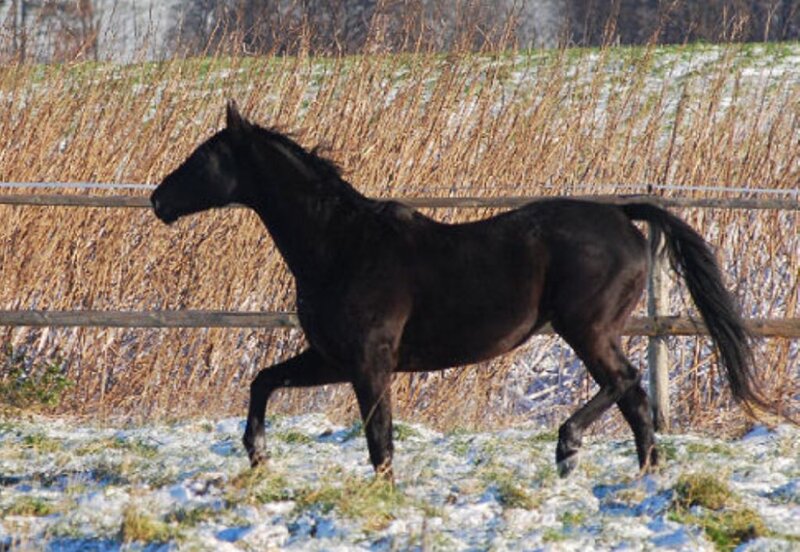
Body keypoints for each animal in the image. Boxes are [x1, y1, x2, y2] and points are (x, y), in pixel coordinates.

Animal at [151, 101, 772, 480]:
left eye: (203, 157)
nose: (158, 200)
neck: (340, 245)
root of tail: (622, 214)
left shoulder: (369, 361)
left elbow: (380, 440)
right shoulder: (331, 356)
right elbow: (263, 381)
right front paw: (257, 453)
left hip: (587, 328)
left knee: (626, 383)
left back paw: (568, 448)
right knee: (637, 402)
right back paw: (644, 478)